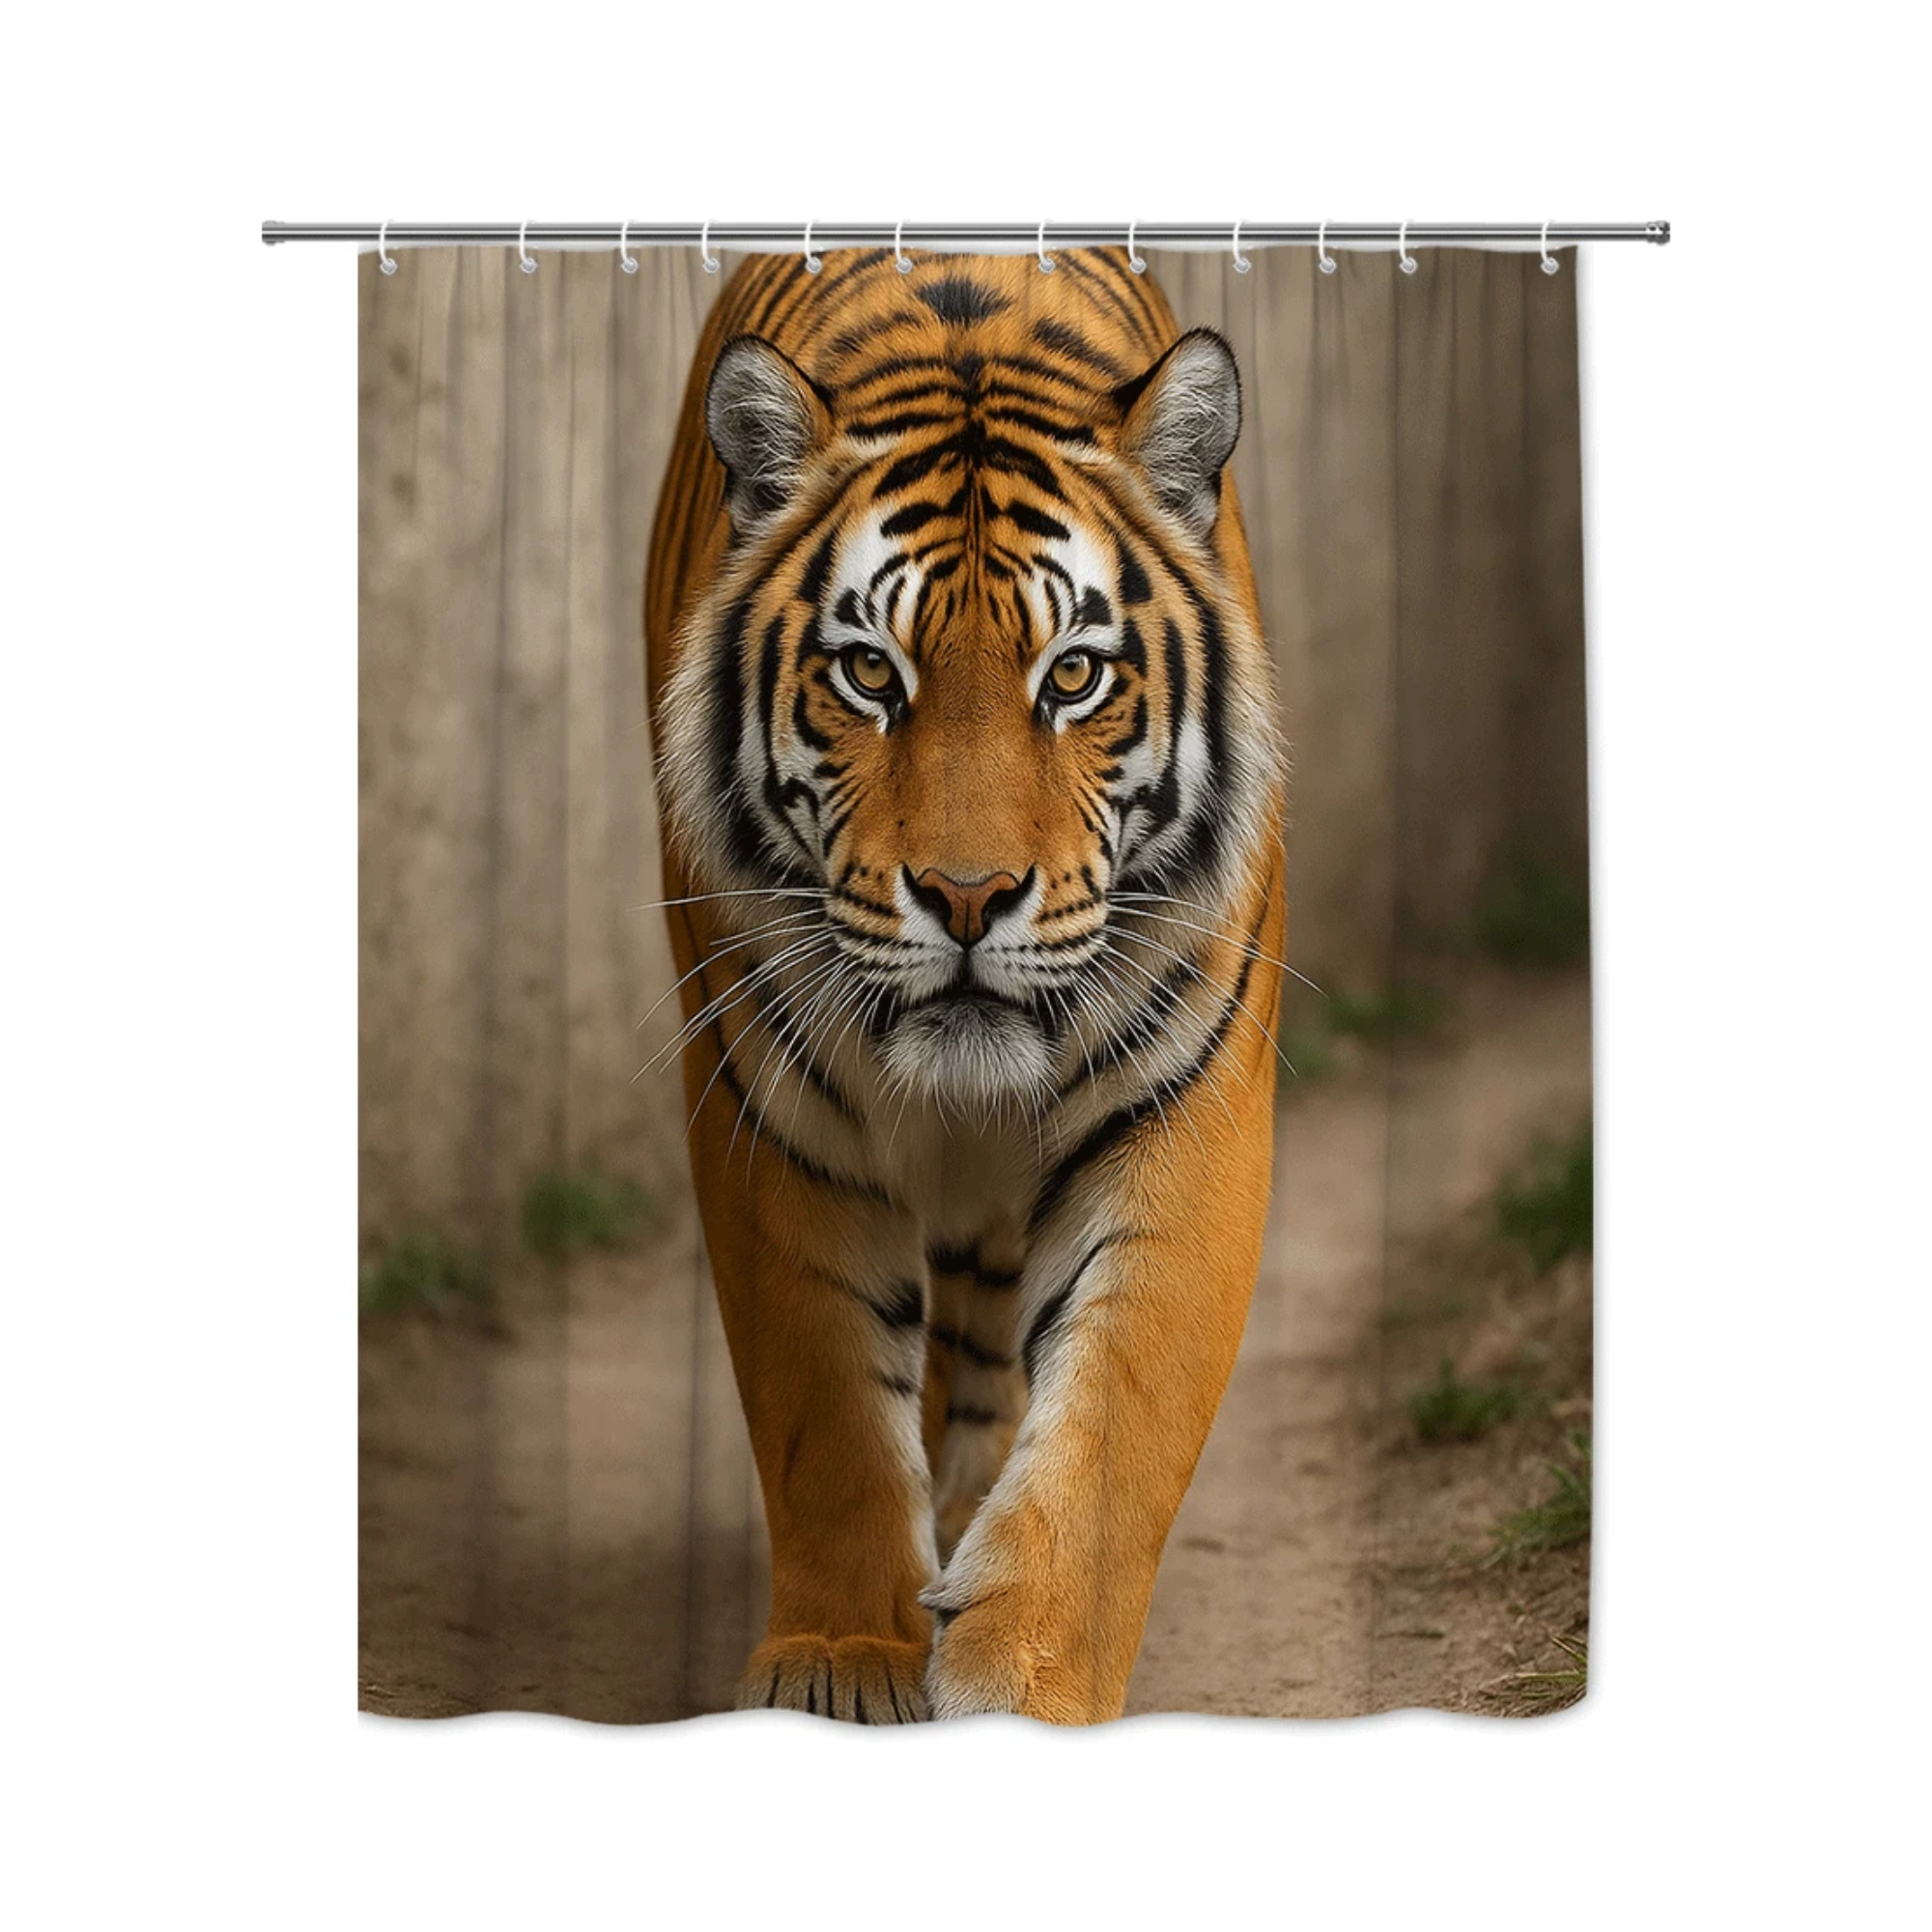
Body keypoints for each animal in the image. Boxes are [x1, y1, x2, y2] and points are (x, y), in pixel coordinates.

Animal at [643, 247, 1286, 1724]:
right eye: (868, 673)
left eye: (1076, 677)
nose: (969, 895)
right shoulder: (773, 1117)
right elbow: (824, 1399)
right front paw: (842, 1658)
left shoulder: (1187, 1110)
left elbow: (1114, 1417)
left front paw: (1023, 1674)